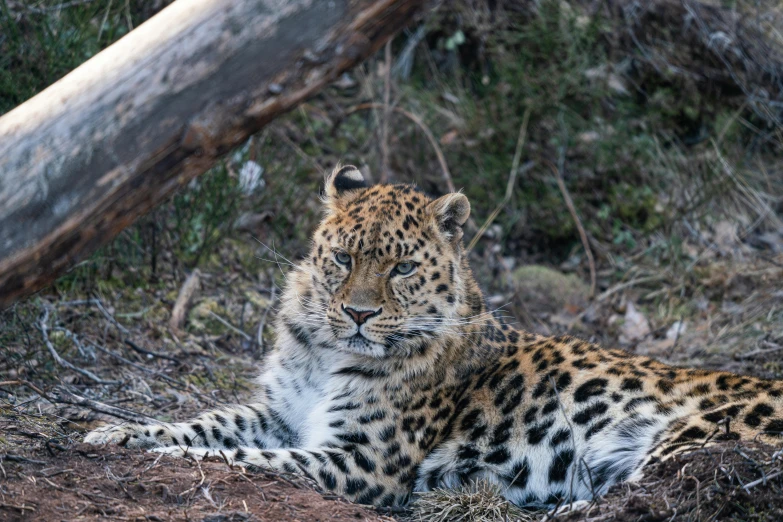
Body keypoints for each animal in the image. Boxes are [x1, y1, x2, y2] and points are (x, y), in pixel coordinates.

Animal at [84, 166, 783, 504]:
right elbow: (207, 422)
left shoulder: (361, 461)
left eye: (401, 268)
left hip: (687, 443)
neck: (326, 355)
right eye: (342, 258)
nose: (358, 314)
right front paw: (117, 434)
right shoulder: (280, 412)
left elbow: (245, 458)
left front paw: (169, 459)